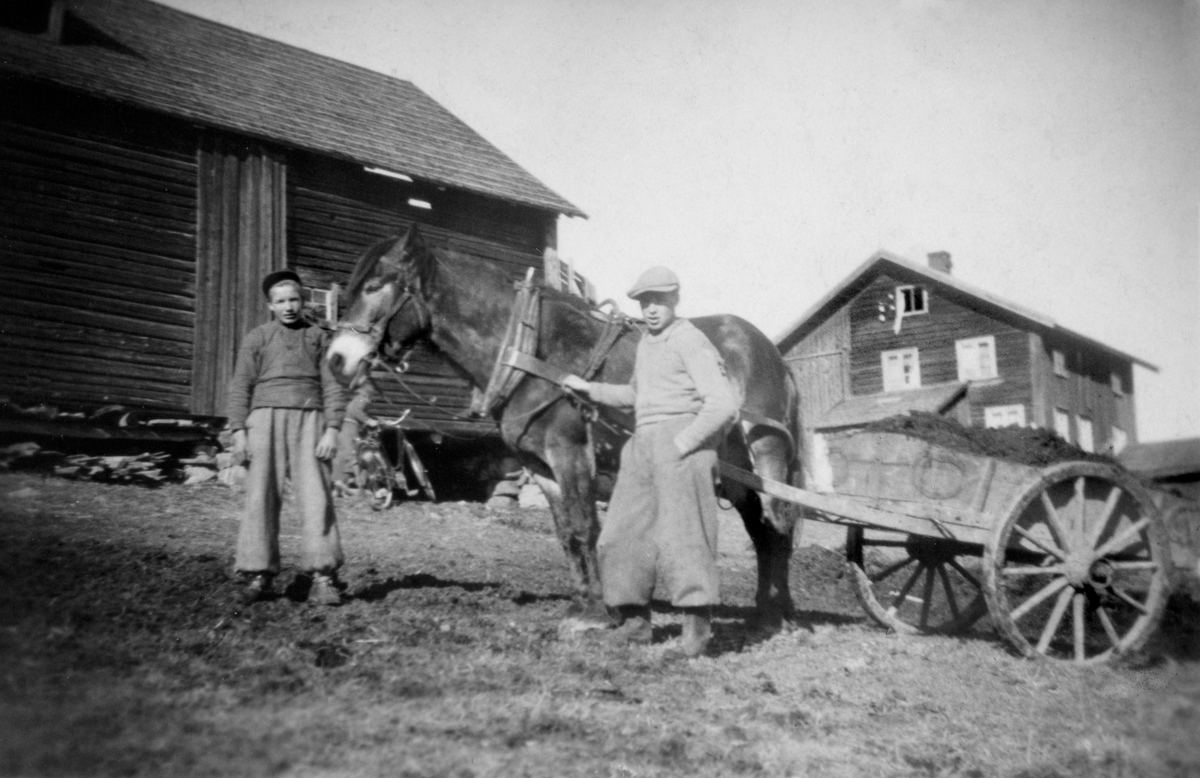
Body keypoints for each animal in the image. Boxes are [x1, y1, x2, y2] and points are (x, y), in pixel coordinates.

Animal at [324, 223, 801, 633]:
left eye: (374, 286)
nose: (337, 359)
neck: (529, 352)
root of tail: (772, 353)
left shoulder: (572, 456)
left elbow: (586, 527)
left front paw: (601, 613)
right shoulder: (543, 467)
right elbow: (567, 533)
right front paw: (583, 605)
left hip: (768, 458)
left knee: (778, 527)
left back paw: (776, 614)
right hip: (737, 475)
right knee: (762, 531)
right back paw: (767, 610)